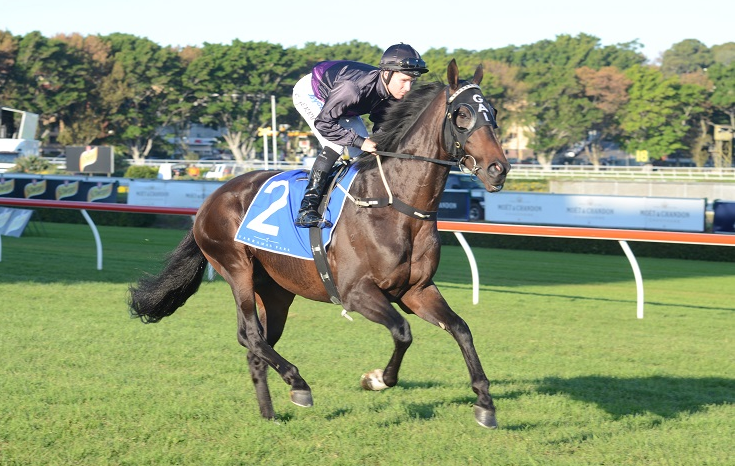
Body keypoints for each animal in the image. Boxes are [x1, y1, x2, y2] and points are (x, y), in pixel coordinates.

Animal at [128, 59, 510, 428]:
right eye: (462, 113)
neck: (395, 204)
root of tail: (210, 200)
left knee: (257, 344)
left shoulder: (417, 290)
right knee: (250, 334)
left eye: (491, 110)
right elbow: (403, 332)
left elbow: (461, 328)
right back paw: (298, 383)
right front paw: (375, 379)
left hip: (276, 290)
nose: (499, 169)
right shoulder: (356, 292)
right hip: (237, 269)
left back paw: (269, 414)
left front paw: (485, 403)